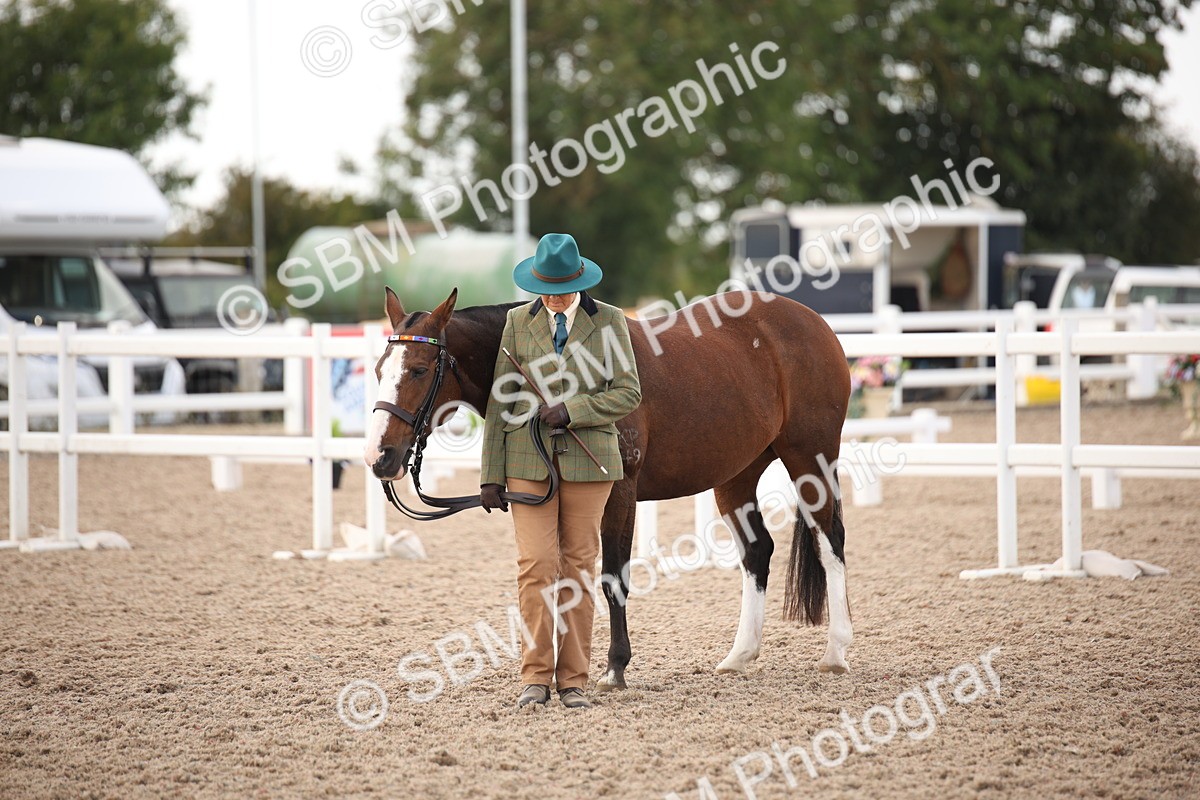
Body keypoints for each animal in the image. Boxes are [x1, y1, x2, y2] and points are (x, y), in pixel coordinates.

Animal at [364, 286, 852, 689]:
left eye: (419, 370)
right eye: (378, 369)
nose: (379, 457)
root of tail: (812, 321)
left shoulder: (619, 493)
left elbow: (612, 577)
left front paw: (615, 668)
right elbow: (560, 580)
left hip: (810, 457)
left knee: (830, 541)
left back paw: (836, 652)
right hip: (737, 475)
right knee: (757, 552)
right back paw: (739, 655)